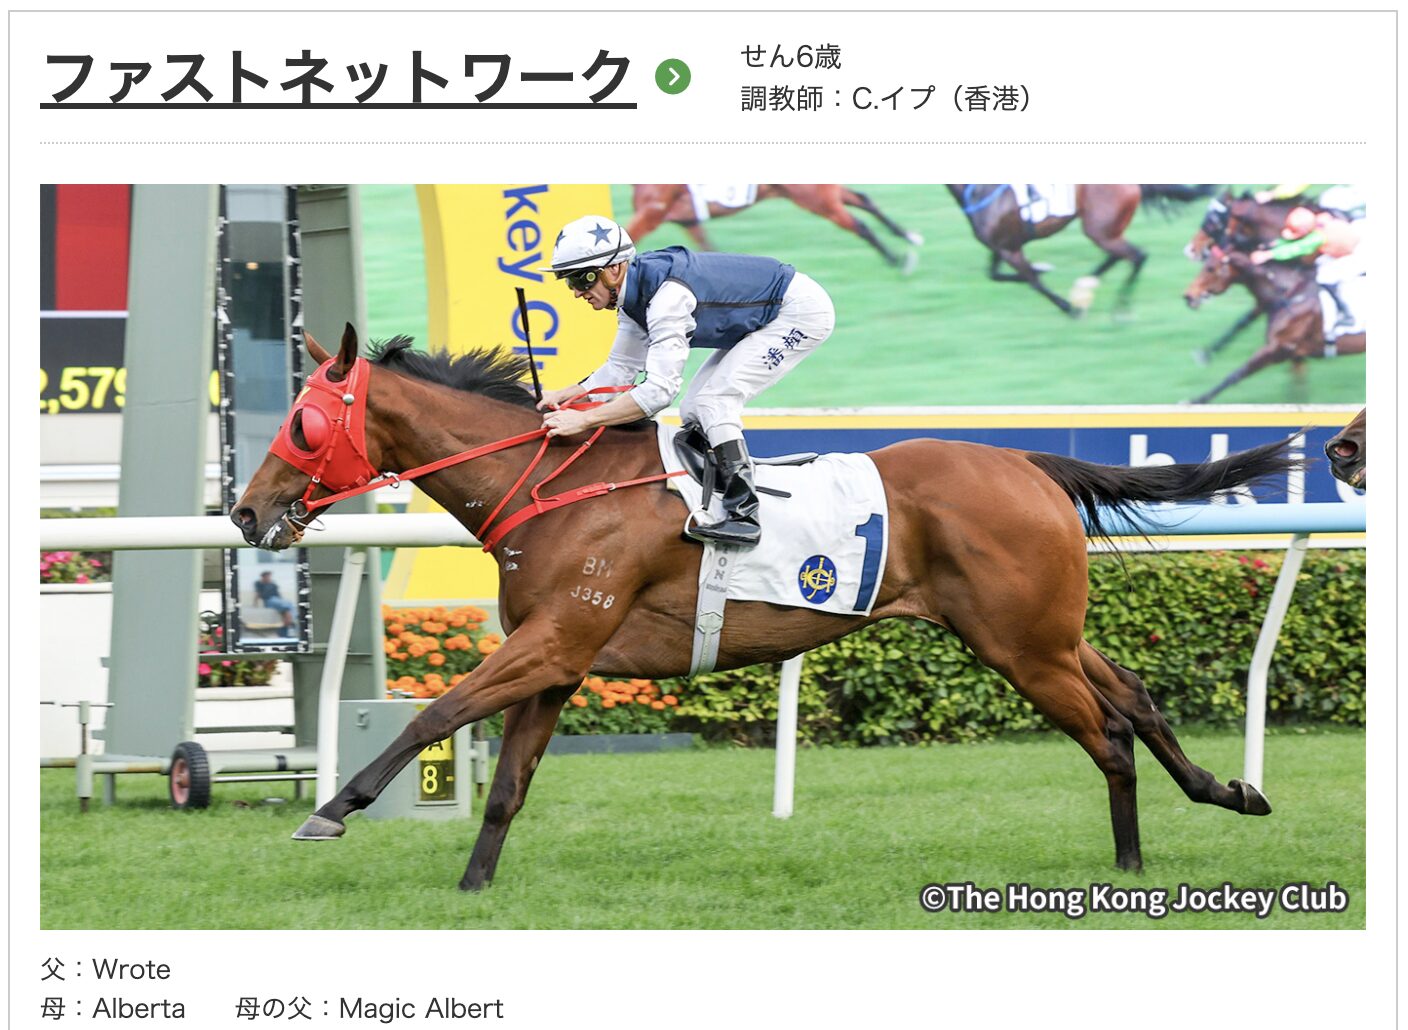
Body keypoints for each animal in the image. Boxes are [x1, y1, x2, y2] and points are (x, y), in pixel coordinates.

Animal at [232, 324, 1300, 891]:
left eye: (305, 422)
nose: (246, 511)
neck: (558, 489)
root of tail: (1029, 462)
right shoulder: (562, 661)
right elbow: (507, 784)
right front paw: (473, 886)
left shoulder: (554, 640)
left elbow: (435, 716)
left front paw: (331, 811)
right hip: (1039, 633)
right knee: (1136, 696)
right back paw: (1225, 794)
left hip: (1022, 644)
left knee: (1109, 732)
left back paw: (1132, 862)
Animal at [626, 185, 923, 272]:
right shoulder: (689, 221)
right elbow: (707, 249)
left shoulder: (651, 214)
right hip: (820, 195)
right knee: (864, 200)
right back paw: (909, 237)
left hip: (815, 198)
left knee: (859, 224)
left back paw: (897, 260)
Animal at [949, 184, 1214, 316]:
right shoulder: (1004, 246)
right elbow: (997, 274)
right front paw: (1044, 269)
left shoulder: (1010, 250)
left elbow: (1033, 281)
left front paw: (1069, 308)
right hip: (1106, 231)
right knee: (1119, 256)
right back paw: (1087, 285)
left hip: (1099, 231)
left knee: (1137, 256)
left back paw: (1119, 311)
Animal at [1183, 247, 1365, 404]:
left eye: (1210, 268)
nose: (1188, 296)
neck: (1289, 295)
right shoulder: (1295, 353)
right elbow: (1298, 386)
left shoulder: (1276, 349)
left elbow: (1237, 374)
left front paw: (1196, 400)